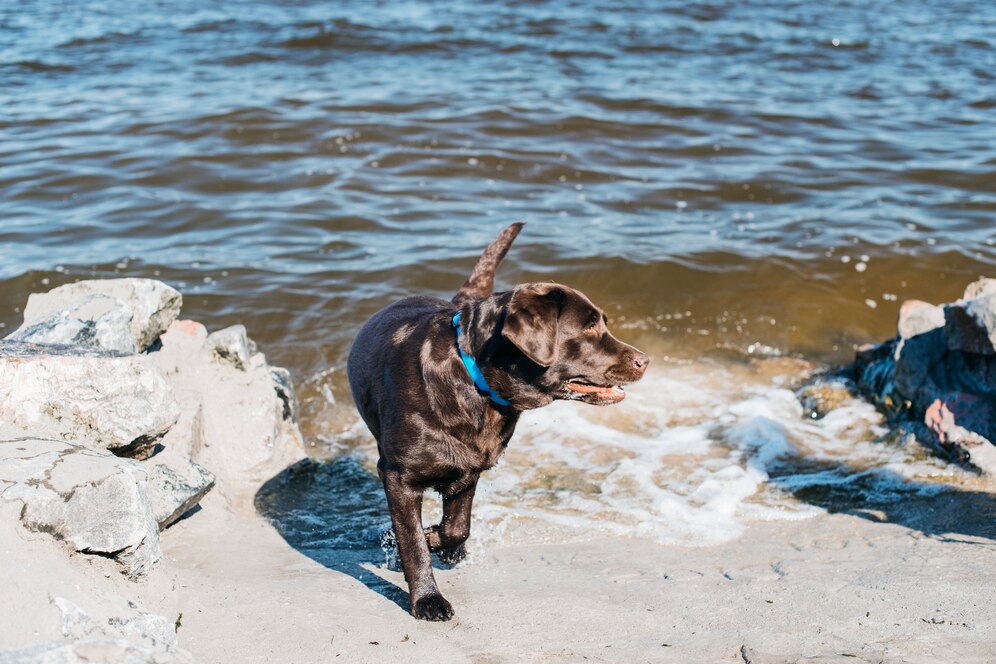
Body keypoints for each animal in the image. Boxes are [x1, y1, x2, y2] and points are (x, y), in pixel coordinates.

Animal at [346, 224, 648, 624]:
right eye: (588, 329)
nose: (645, 360)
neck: (474, 381)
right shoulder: (398, 475)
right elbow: (412, 541)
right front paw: (427, 598)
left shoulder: (471, 467)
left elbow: (457, 527)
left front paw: (437, 540)